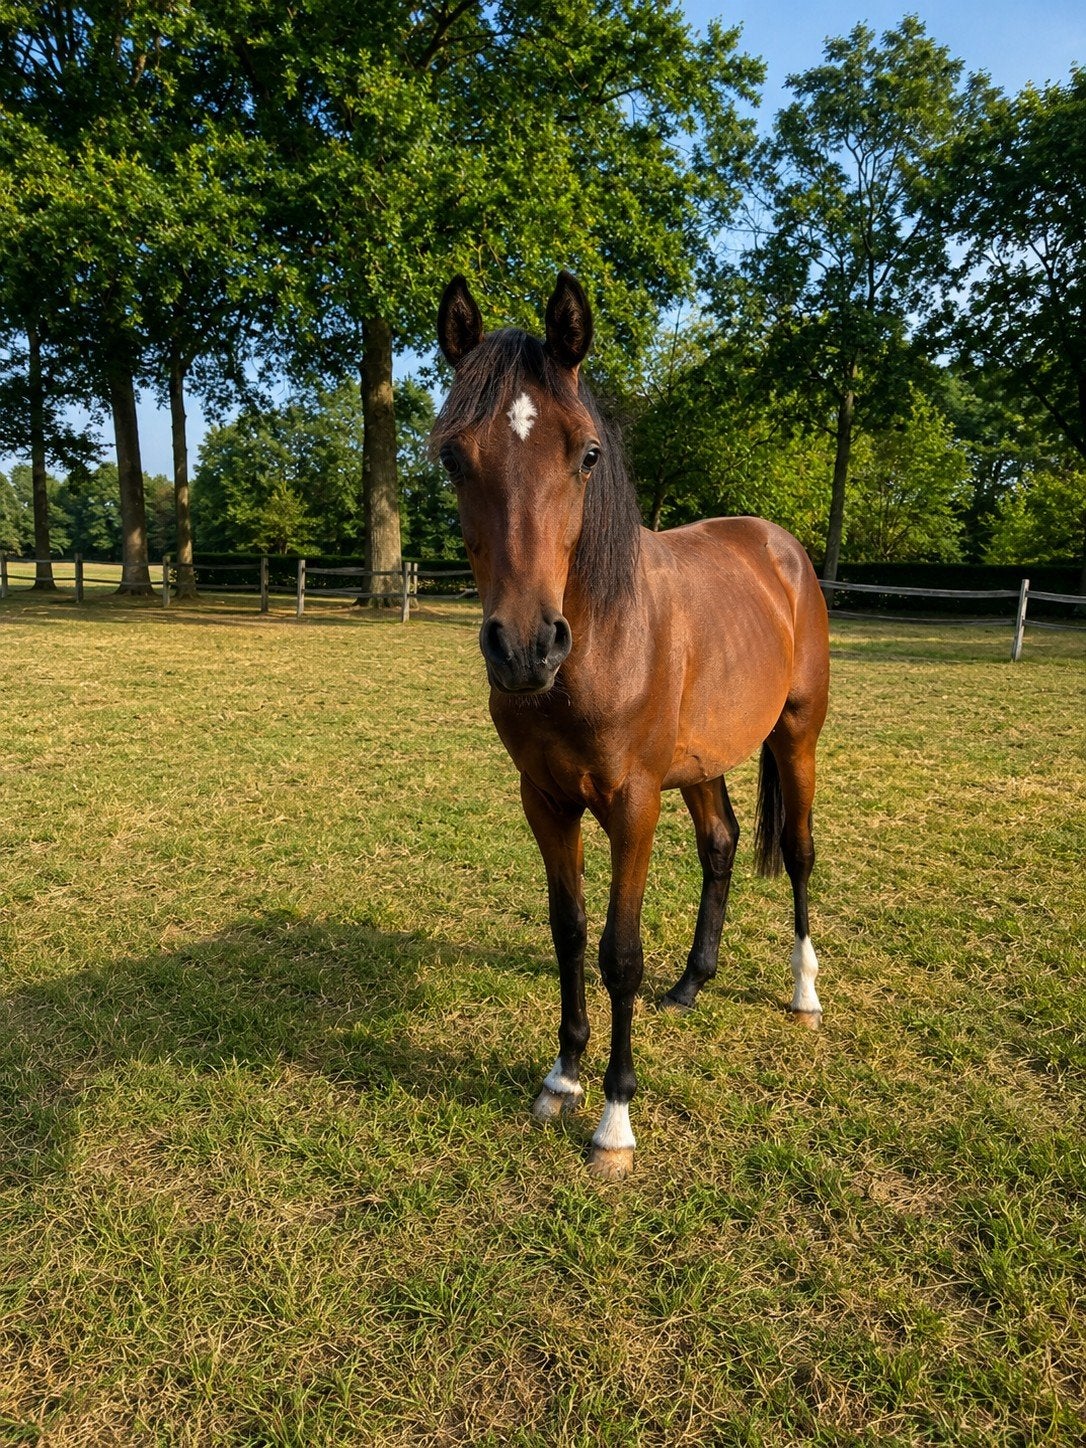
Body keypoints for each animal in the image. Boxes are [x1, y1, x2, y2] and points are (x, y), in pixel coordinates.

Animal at [433, 272, 830, 1179]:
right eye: (451, 456)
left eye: (586, 454)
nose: (525, 646)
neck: (603, 640)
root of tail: (779, 546)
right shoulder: (545, 801)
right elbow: (570, 933)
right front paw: (562, 1078)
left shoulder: (632, 804)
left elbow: (618, 952)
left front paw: (614, 1118)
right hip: (704, 762)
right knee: (722, 844)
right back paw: (691, 983)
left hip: (795, 735)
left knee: (796, 853)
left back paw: (803, 991)